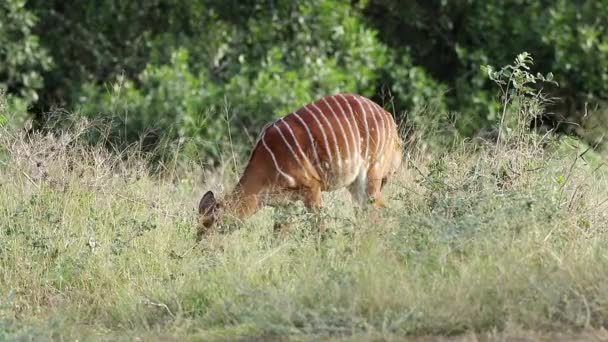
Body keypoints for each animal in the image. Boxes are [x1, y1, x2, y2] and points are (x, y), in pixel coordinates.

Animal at [197, 93, 402, 238]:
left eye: (209, 225)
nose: (201, 248)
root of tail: (390, 119)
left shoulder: (312, 188)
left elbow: (321, 230)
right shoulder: (285, 204)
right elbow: (278, 236)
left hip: (372, 174)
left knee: (376, 211)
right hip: (355, 184)